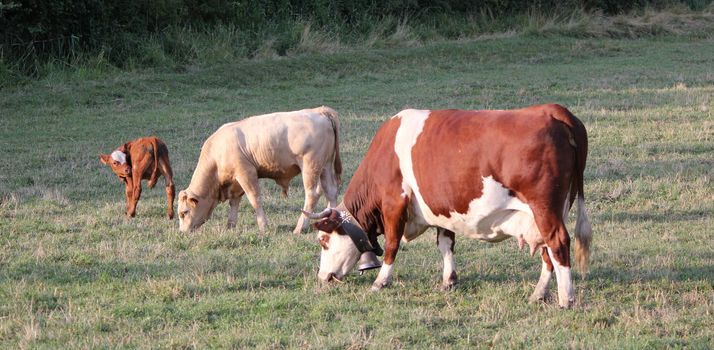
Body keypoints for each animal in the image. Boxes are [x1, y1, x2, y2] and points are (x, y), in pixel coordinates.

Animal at [179, 105, 344, 234]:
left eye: (184, 212)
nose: (183, 232)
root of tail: (319, 111)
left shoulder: (246, 173)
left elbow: (255, 199)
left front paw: (263, 226)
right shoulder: (235, 182)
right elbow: (234, 202)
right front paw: (230, 225)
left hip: (310, 166)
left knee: (312, 194)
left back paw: (299, 228)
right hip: (325, 166)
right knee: (331, 191)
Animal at [306, 104, 588, 308]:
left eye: (323, 240)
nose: (322, 276)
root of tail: (553, 110)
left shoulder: (394, 202)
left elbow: (391, 244)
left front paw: (380, 281)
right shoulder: (442, 210)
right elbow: (445, 243)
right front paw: (449, 280)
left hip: (545, 209)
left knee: (558, 243)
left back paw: (566, 299)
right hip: (552, 211)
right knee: (548, 251)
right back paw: (539, 293)